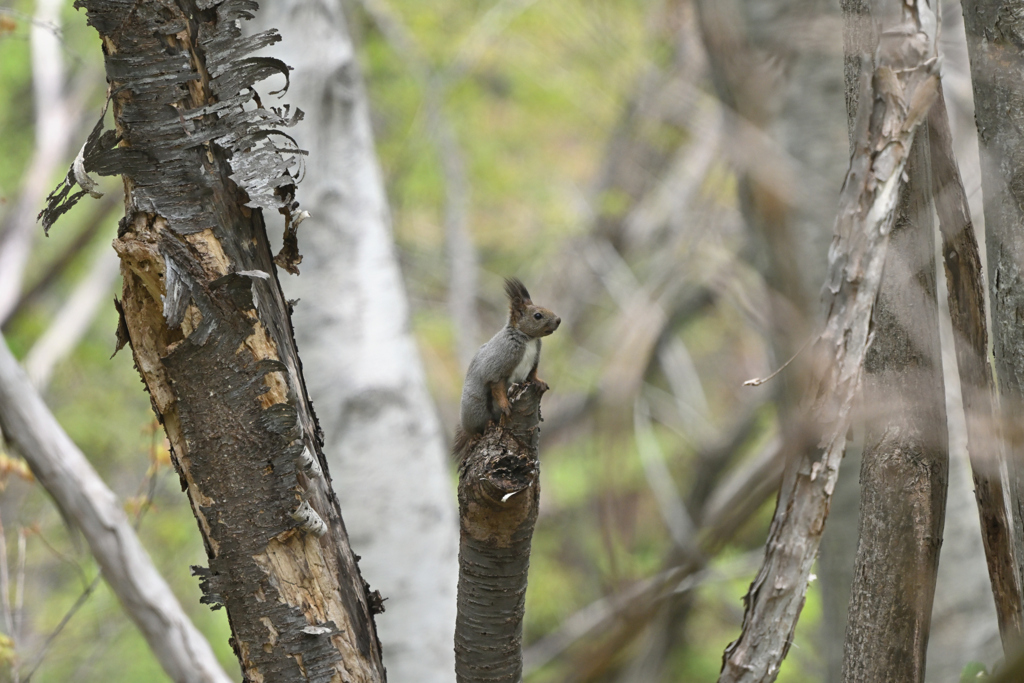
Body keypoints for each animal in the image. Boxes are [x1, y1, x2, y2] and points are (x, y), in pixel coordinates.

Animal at [454, 278, 561, 458]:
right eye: (537, 315)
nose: (559, 320)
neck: (528, 339)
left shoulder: (534, 361)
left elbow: (532, 374)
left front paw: (539, 382)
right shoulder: (498, 364)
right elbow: (497, 385)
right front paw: (505, 405)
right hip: (476, 408)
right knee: (475, 428)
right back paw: (475, 435)